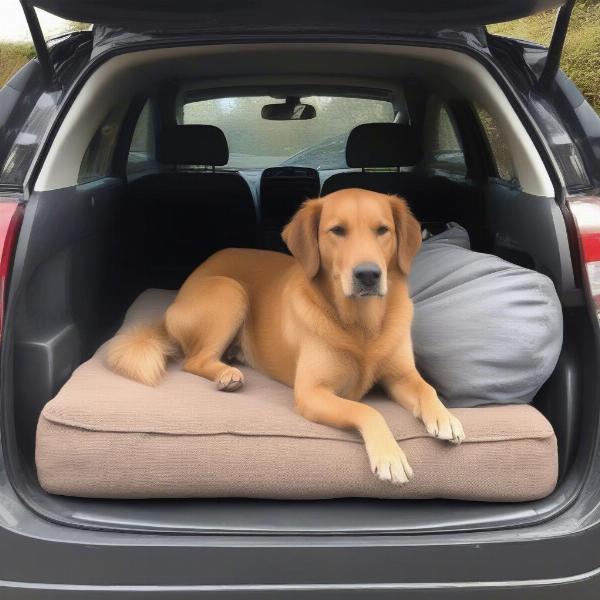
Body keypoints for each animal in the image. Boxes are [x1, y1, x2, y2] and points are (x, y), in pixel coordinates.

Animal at [108, 190, 464, 486]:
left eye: (382, 230)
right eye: (337, 231)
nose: (368, 275)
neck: (361, 324)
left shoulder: (401, 376)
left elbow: (426, 387)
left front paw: (445, 417)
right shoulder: (311, 393)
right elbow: (367, 411)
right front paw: (390, 456)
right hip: (230, 291)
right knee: (194, 360)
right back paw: (226, 375)